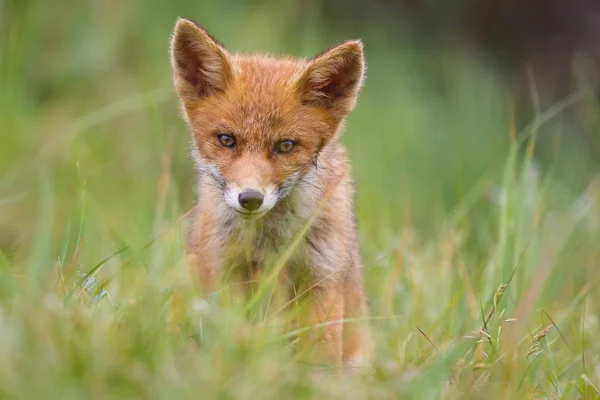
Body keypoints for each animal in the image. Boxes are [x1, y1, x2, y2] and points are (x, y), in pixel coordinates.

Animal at [169, 18, 370, 368]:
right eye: (227, 140)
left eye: (285, 146)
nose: (250, 198)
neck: (269, 243)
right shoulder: (228, 271)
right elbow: (232, 340)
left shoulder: (321, 279)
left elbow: (319, 354)